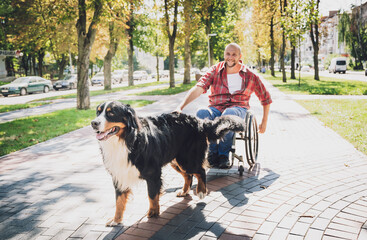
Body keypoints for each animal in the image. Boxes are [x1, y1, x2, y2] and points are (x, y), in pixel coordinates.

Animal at [91, 101, 246, 227]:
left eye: (111, 113)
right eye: (98, 112)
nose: (93, 123)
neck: (126, 140)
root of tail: (199, 121)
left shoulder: (153, 173)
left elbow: (152, 195)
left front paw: (153, 213)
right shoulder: (119, 174)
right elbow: (119, 201)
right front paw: (116, 220)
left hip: (187, 160)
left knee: (200, 171)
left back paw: (201, 191)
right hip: (176, 161)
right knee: (188, 176)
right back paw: (184, 191)